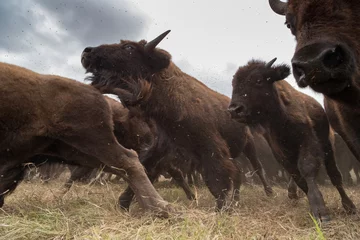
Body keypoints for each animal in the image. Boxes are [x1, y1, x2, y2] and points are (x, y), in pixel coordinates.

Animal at [0, 61, 171, 215]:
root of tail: (91, 88)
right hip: (73, 150)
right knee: (115, 166)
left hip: (90, 140)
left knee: (127, 161)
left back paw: (161, 209)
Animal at [81, 30, 272, 212]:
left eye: (129, 47)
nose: (87, 52)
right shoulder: (161, 146)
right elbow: (144, 169)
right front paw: (124, 203)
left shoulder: (210, 147)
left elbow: (216, 179)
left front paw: (222, 208)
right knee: (239, 173)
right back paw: (237, 199)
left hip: (249, 146)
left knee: (257, 168)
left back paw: (268, 193)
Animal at [229, 58, 356, 221]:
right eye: (234, 84)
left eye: (258, 80)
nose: (234, 110)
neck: (280, 119)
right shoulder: (280, 151)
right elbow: (297, 176)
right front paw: (309, 203)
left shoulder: (307, 142)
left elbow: (307, 169)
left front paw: (321, 213)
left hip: (327, 146)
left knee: (335, 175)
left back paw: (349, 206)